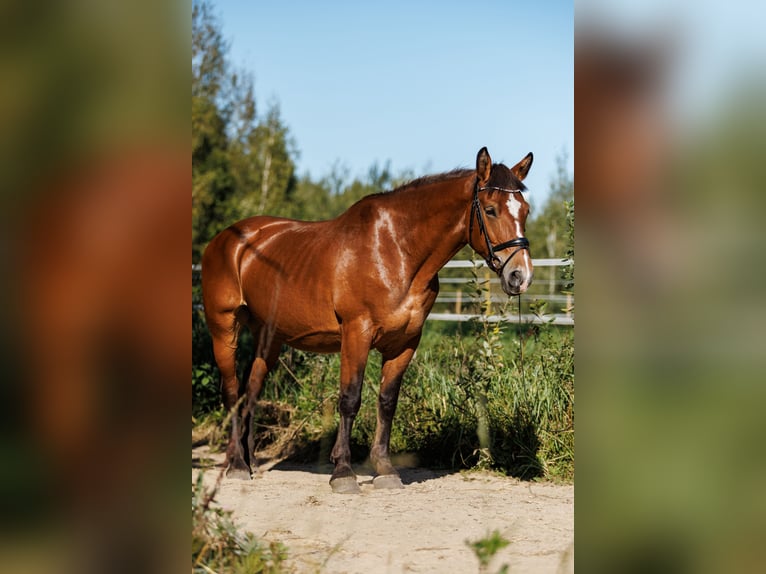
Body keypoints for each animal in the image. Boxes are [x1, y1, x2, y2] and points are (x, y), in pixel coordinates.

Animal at [202, 146, 536, 492]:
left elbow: (387, 402)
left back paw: (250, 461)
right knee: (232, 391)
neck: (395, 251)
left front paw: (385, 469)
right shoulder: (356, 333)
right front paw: (343, 472)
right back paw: (237, 465)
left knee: (251, 392)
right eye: (490, 209)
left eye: (525, 210)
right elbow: (350, 399)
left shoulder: (406, 341)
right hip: (223, 328)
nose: (520, 276)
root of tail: (226, 240)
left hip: (268, 336)